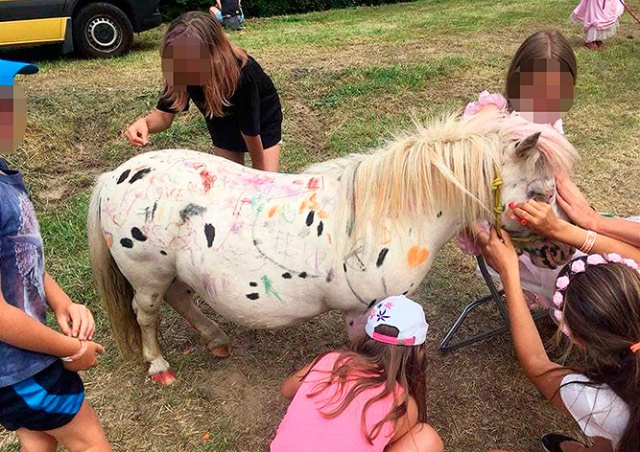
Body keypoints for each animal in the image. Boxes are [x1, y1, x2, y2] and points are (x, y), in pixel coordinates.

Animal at [89, 108, 576, 382]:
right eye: (540, 194)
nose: (560, 254)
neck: (396, 213)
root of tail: (114, 177)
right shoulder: (365, 309)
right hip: (147, 273)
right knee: (147, 313)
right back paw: (158, 366)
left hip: (167, 271)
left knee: (179, 298)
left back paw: (216, 340)